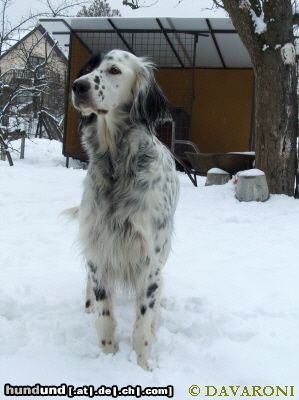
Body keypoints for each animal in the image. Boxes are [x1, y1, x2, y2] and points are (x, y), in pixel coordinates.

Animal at [72, 50, 180, 372]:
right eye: (87, 68)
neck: (116, 166)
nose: (78, 86)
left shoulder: (149, 260)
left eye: (114, 70)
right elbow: (105, 314)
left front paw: (142, 366)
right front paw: (108, 357)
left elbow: (143, 321)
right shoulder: (99, 247)